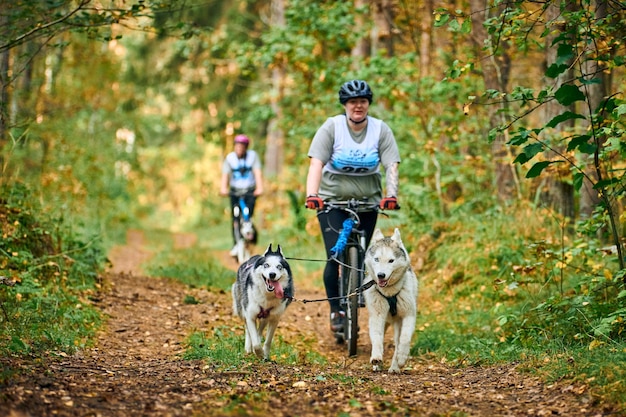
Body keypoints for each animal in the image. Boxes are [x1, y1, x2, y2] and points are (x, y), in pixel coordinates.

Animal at [360, 229, 420, 372]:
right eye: (376, 259)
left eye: (391, 261)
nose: (380, 275)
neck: (389, 293)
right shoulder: (377, 316)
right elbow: (376, 338)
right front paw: (376, 357)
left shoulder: (408, 315)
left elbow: (405, 339)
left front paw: (402, 357)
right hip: (385, 321)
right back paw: (378, 365)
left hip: (398, 323)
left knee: (398, 342)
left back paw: (395, 367)